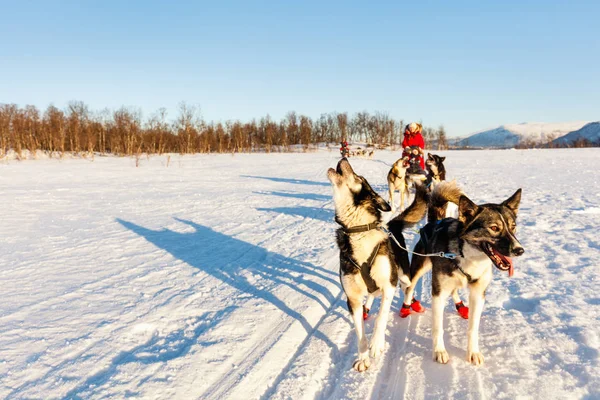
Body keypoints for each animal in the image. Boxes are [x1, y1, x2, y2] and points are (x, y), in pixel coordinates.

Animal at [326, 157, 428, 372]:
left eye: (359, 177)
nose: (343, 159)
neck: (358, 230)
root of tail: (392, 225)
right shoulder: (352, 299)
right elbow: (360, 333)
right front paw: (363, 357)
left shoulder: (389, 285)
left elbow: (381, 317)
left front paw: (376, 345)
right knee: (372, 294)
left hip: (403, 275)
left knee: (408, 287)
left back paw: (411, 304)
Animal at [404, 182, 524, 366]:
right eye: (494, 228)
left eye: (513, 227)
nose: (520, 250)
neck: (468, 256)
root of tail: (436, 221)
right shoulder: (438, 293)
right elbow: (438, 327)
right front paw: (439, 351)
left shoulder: (478, 293)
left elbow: (473, 328)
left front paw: (473, 352)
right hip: (419, 268)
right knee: (409, 288)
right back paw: (406, 307)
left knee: (455, 290)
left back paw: (461, 307)